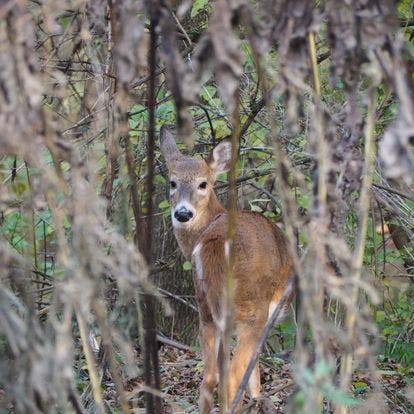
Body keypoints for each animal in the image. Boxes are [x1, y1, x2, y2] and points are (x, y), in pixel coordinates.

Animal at [159, 127, 294, 414]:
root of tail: (217, 241)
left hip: (206, 307)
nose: (183, 213)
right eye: (173, 182)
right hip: (249, 307)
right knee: (231, 375)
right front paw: (259, 397)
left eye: (203, 183)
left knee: (209, 377)